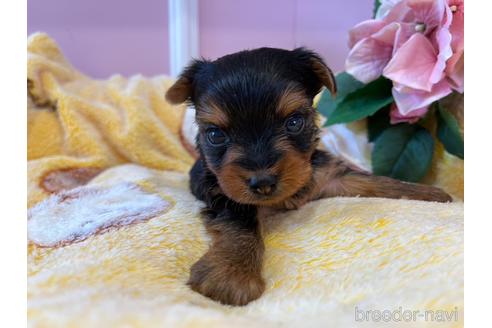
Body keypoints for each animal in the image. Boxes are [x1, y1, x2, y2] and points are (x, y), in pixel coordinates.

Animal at [164, 47, 450, 306]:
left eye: (294, 122)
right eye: (215, 135)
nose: (263, 182)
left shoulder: (326, 175)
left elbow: (373, 180)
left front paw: (431, 193)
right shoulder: (223, 193)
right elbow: (241, 225)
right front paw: (232, 273)